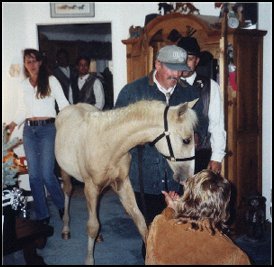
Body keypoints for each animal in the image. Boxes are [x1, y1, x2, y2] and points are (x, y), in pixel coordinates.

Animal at [54, 99, 198, 264]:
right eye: (186, 140)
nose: (187, 177)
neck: (108, 144)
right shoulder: (91, 187)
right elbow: (92, 226)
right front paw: (89, 260)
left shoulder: (122, 184)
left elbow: (140, 222)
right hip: (65, 172)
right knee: (68, 191)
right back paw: (66, 228)